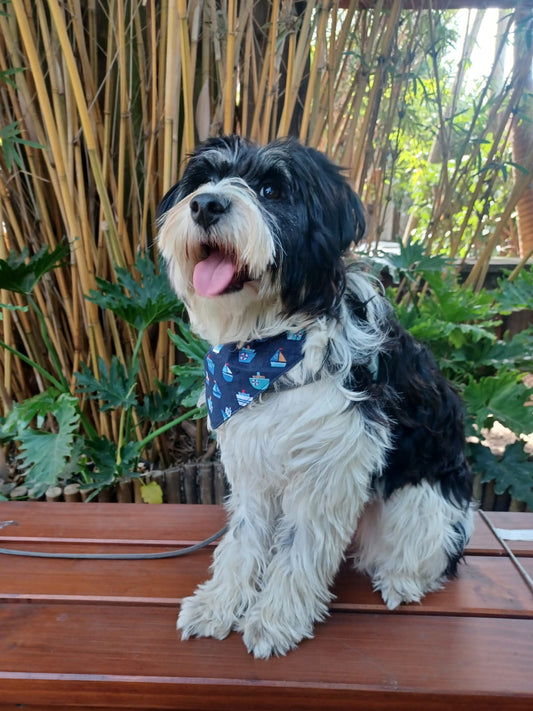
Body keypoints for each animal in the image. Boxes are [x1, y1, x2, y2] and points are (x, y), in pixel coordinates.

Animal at [156, 136, 472, 660]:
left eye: (271, 189)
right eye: (204, 180)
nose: (205, 205)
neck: (270, 343)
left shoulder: (329, 468)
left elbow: (298, 549)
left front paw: (274, 620)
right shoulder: (252, 464)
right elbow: (243, 539)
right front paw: (220, 604)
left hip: (421, 504)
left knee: (430, 554)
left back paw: (402, 581)